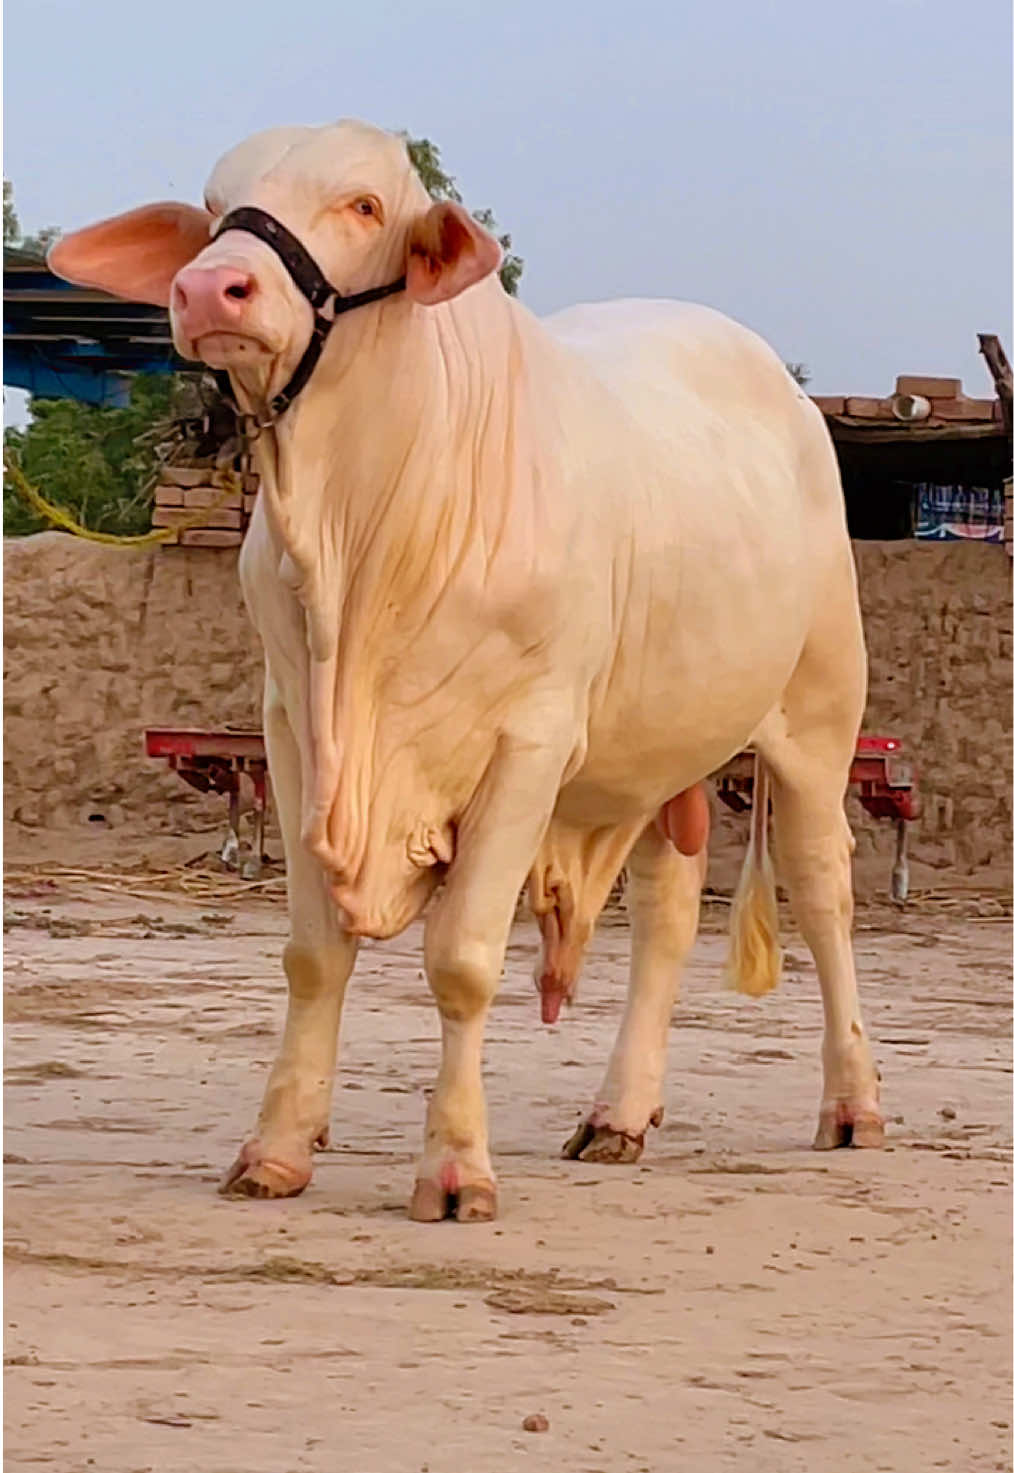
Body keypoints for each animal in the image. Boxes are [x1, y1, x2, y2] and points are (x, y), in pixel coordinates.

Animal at [49, 119, 884, 1222]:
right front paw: (276, 1148)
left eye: (364, 204)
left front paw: (454, 1168)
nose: (207, 289)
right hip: (659, 751)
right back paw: (621, 1113)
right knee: (666, 907)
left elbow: (461, 961)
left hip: (817, 716)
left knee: (825, 889)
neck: (365, 539)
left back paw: (853, 1102)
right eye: (216, 204)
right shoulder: (293, 735)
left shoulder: (528, 747)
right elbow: (313, 956)